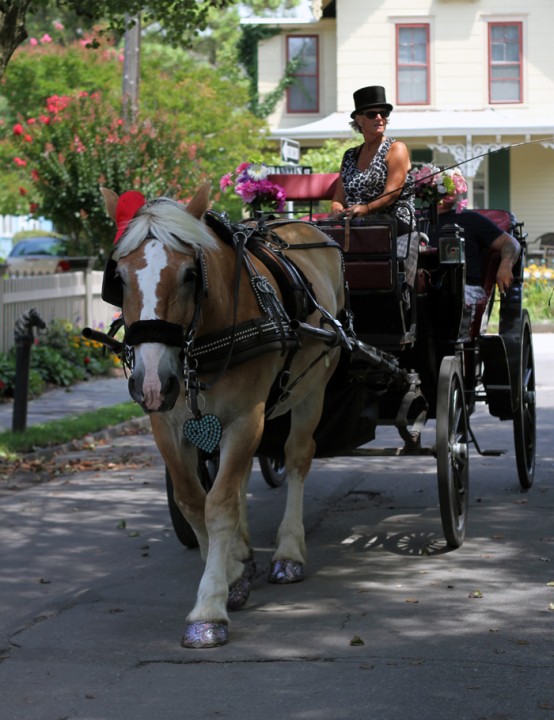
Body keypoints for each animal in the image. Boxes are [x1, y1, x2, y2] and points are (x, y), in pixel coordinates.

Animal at [99, 184, 344, 648]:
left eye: (189, 275)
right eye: (118, 277)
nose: (152, 383)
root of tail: (307, 226)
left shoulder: (248, 417)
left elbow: (221, 504)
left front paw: (209, 607)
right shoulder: (167, 425)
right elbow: (195, 501)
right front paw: (232, 573)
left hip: (314, 388)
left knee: (297, 457)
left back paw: (288, 551)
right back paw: (244, 551)